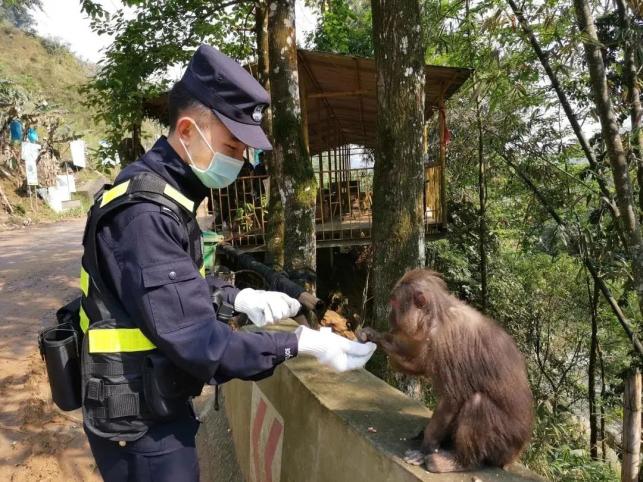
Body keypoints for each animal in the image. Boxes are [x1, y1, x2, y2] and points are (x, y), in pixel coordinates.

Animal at [360, 270, 536, 472]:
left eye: (394, 303)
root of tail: (514, 455)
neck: (435, 317)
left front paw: (426, 448)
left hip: (504, 445)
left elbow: (452, 400)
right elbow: (419, 363)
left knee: (477, 403)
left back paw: (459, 461)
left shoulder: (445, 340)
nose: (389, 317)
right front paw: (375, 336)